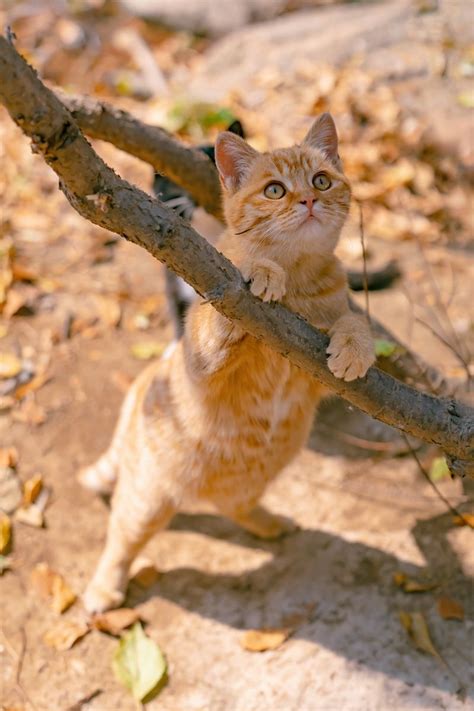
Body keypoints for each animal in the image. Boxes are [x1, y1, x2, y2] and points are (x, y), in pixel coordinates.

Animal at [80, 115, 374, 612]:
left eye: (321, 180)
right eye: (275, 190)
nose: (309, 199)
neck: (299, 277)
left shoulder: (318, 381)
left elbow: (353, 319)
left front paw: (355, 348)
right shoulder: (203, 347)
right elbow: (220, 306)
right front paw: (262, 271)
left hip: (248, 481)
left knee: (233, 506)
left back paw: (270, 523)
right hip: (145, 501)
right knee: (120, 542)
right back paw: (103, 589)